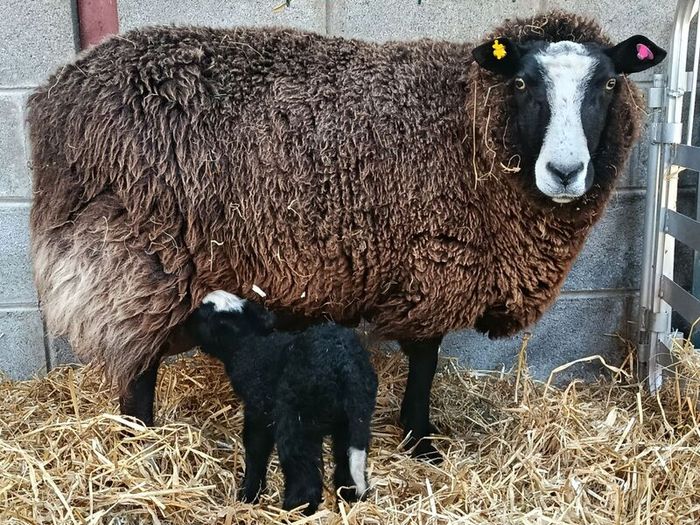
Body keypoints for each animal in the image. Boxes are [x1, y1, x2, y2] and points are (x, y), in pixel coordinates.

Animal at [26, 10, 666, 461]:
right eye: (525, 84)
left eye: (610, 83)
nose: (565, 171)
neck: (467, 124)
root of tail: (55, 96)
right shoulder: (434, 268)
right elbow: (426, 362)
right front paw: (420, 441)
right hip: (134, 258)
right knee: (136, 369)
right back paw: (140, 444)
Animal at [185, 290, 378, 514]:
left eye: (203, 314)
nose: (186, 320)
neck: (249, 344)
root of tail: (345, 366)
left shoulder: (258, 410)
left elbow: (255, 448)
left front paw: (249, 493)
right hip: (353, 419)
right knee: (345, 460)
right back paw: (349, 498)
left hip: (298, 422)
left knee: (304, 473)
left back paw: (293, 510)